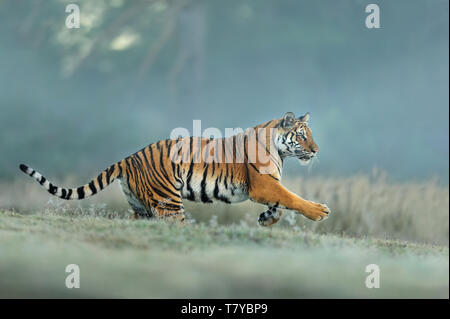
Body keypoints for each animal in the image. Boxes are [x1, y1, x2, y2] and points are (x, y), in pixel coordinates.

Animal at [19, 111, 330, 226]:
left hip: (141, 205)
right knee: (174, 223)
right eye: (302, 135)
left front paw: (267, 219)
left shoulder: (267, 186)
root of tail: (130, 157)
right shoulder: (263, 184)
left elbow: (282, 203)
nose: (316, 150)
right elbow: (292, 198)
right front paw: (319, 211)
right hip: (168, 202)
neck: (280, 150)